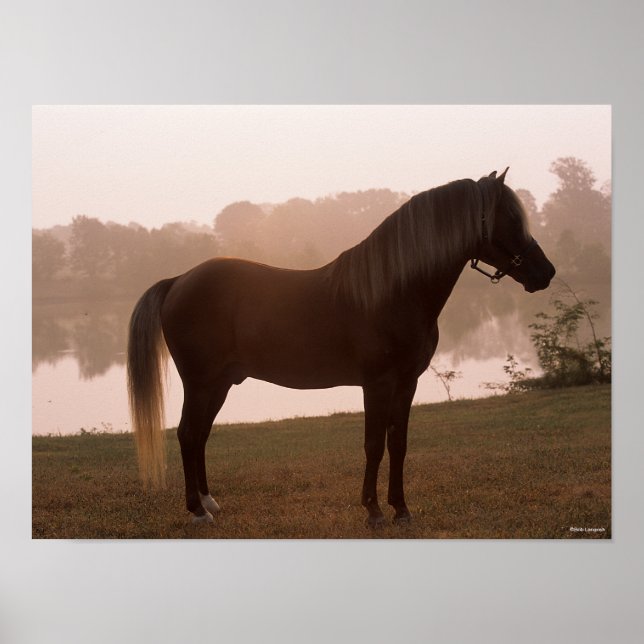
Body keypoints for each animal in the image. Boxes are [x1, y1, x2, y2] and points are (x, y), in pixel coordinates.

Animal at [127, 169, 556, 527]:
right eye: (510, 218)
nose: (546, 272)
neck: (392, 290)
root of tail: (178, 280)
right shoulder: (377, 383)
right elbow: (373, 445)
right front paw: (374, 511)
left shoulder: (407, 383)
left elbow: (398, 444)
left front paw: (401, 509)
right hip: (200, 383)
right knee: (187, 435)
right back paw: (197, 511)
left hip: (219, 385)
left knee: (200, 436)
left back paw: (209, 502)